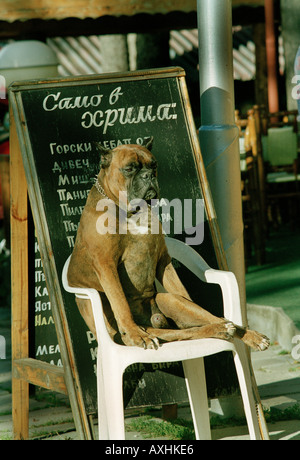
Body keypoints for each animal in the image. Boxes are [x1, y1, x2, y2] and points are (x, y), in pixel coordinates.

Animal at [68, 138, 270, 350]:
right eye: (129, 168)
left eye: (153, 166)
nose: (148, 175)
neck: (130, 212)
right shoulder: (106, 265)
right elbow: (120, 302)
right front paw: (134, 335)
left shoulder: (163, 261)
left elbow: (180, 289)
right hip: (156, 329)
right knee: (188, 332)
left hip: (174, 302)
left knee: (212, 319)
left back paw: (245, 334)